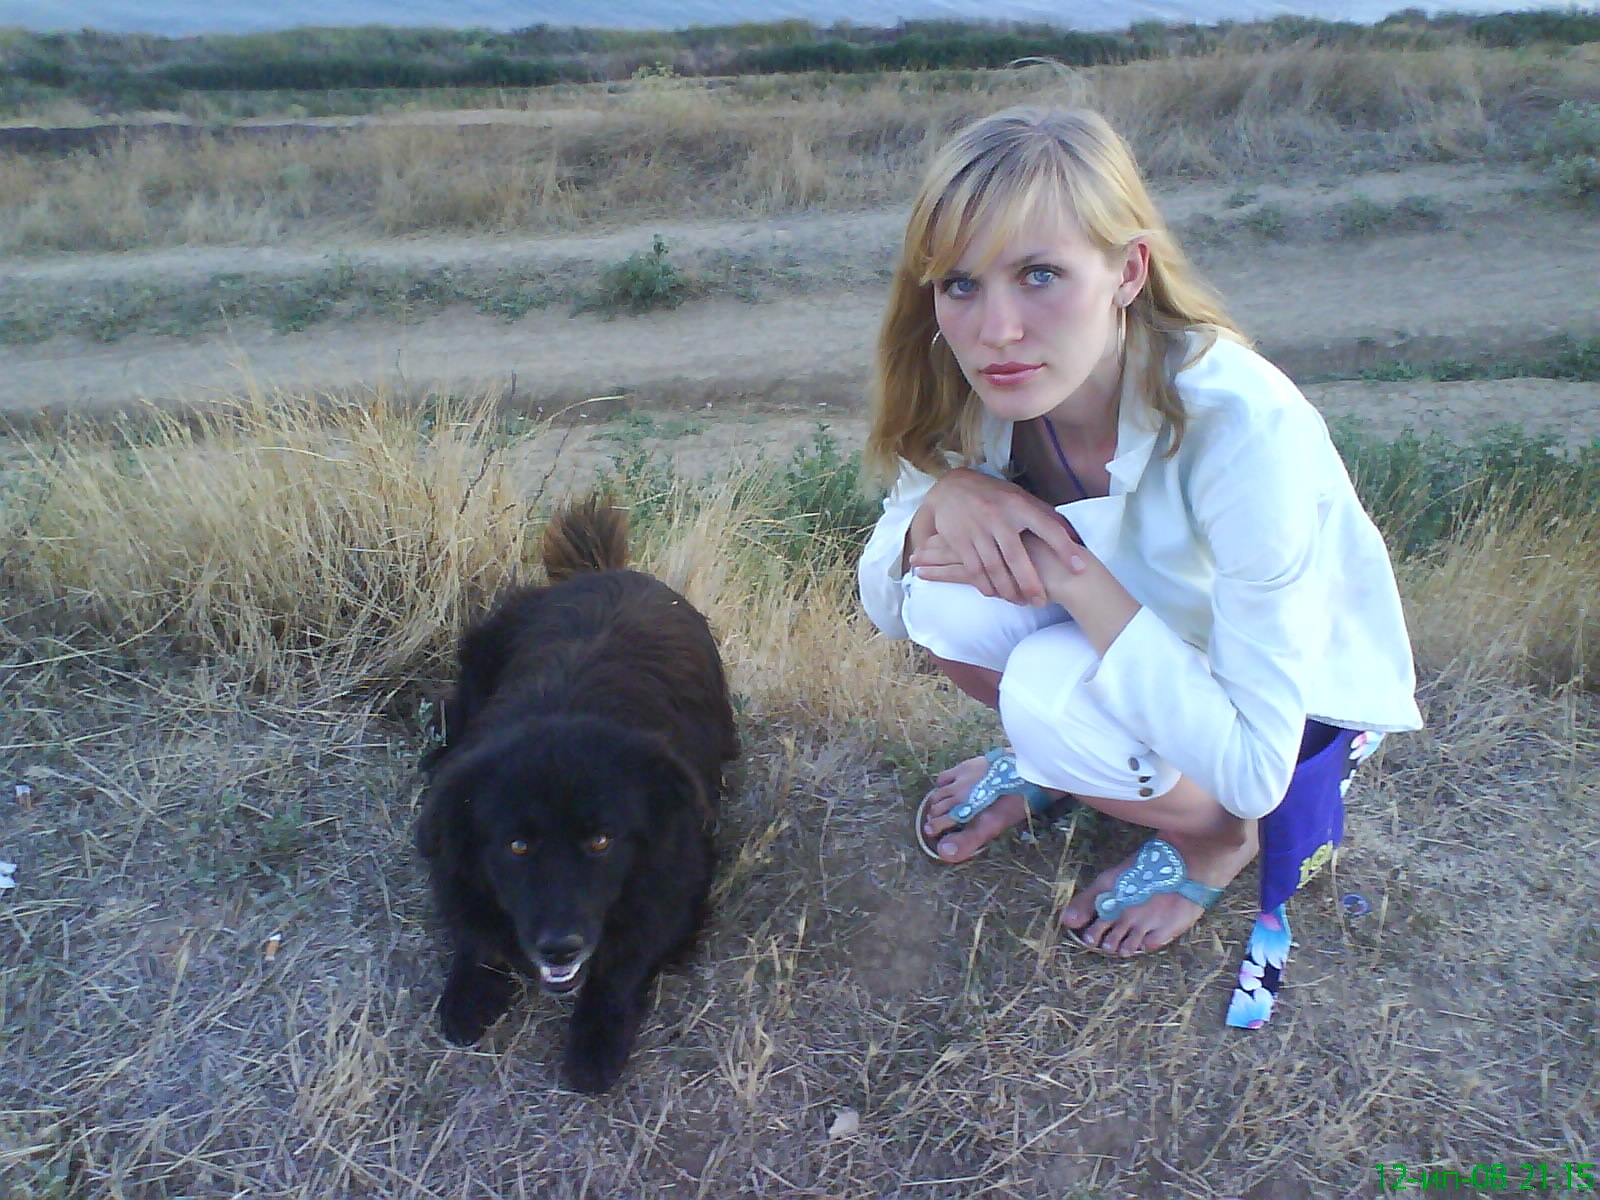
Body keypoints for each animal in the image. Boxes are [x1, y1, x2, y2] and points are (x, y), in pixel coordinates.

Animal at [415, 492, 739, 1093]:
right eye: (517, 846)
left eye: (602, 841)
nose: (559, 946)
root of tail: (600, 570)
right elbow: (474, 932)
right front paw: (469, 992)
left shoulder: (681, 885)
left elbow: (622, 964)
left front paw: (596, 1042)